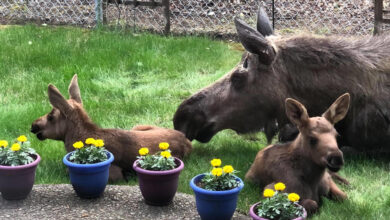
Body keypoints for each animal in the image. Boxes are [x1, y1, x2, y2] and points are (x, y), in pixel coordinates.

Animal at [31, 75, 193, 181]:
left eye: (51, 116)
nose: (33, 125)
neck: (75, 140)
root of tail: (187, 141)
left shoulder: (115, 173)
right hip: (137, 126)